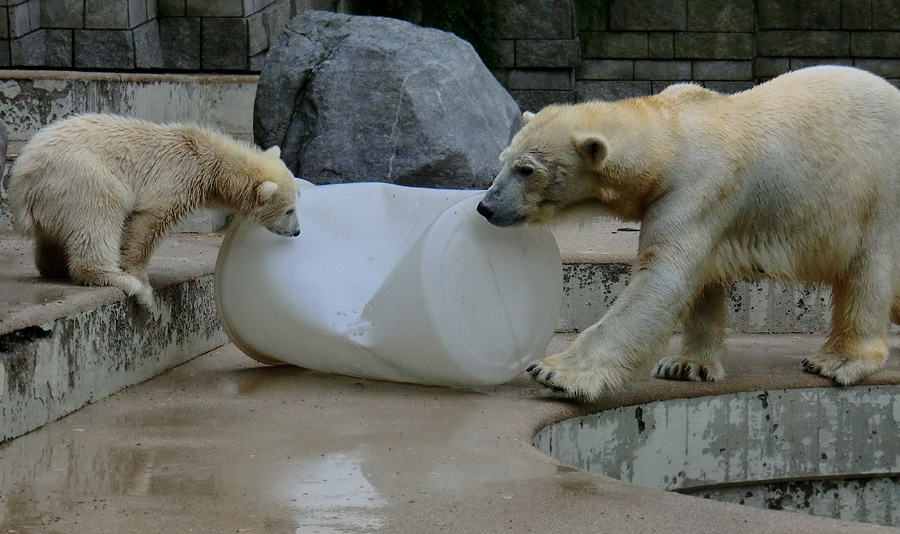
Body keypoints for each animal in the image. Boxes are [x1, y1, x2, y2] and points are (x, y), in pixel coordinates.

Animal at [8, 114, 302, 312]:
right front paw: (142, 283)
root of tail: (22, 178)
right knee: (101, 212)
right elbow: (149, 223)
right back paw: (121, 281)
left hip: (52, 198)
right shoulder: (177, 177)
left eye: (296, 205)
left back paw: (54, 265)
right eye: (290, 210)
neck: (209, 158)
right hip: (79, 176)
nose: (297, 231)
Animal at [482, 66, 900, 402]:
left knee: (869, 268)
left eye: (526, 169)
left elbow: (662, 277)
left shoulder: (697, 187)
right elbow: (703, 279)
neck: (673, 138)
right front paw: (686, 366)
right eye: (502, 161)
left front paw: (555, 371)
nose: (486, 206)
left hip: (878, 189)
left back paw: (837, 359)